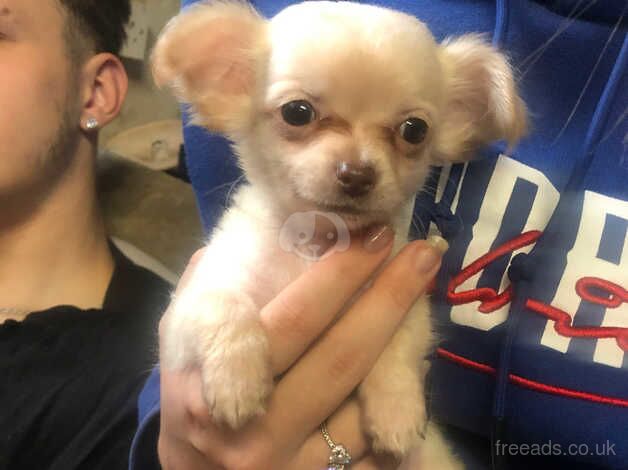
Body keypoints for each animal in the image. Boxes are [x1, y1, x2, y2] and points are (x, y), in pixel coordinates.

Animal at [152, 0, 524, 462]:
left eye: (414, 130)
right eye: (297, 112)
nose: (357, 173)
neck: (316, 246)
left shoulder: (408, 312)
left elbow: (395, 349)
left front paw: (397, 411)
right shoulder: (182, 319)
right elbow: (222, 304)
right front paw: (236, 381)